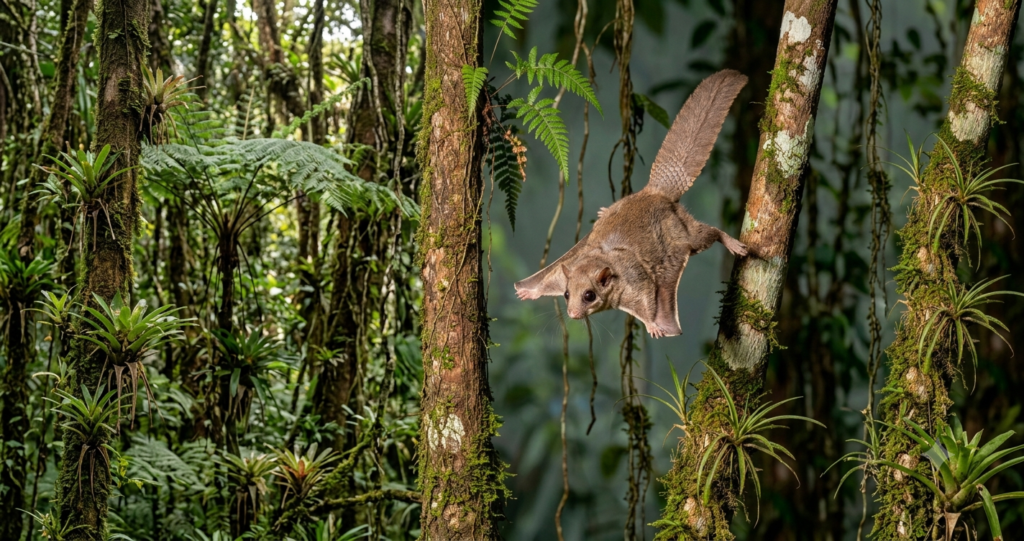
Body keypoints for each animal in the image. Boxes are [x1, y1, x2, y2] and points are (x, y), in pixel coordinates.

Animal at [514, 69, 749, 338]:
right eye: (565, 294)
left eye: (589, 296)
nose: (572, 314)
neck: (604, 261)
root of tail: (655, 191)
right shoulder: (571, 265)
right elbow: (549, 277)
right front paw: (529, 290)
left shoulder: (637, 283)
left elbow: (648, 303)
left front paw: (653, 326)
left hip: (682, 230)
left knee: (708, 233)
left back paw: (733, 244)